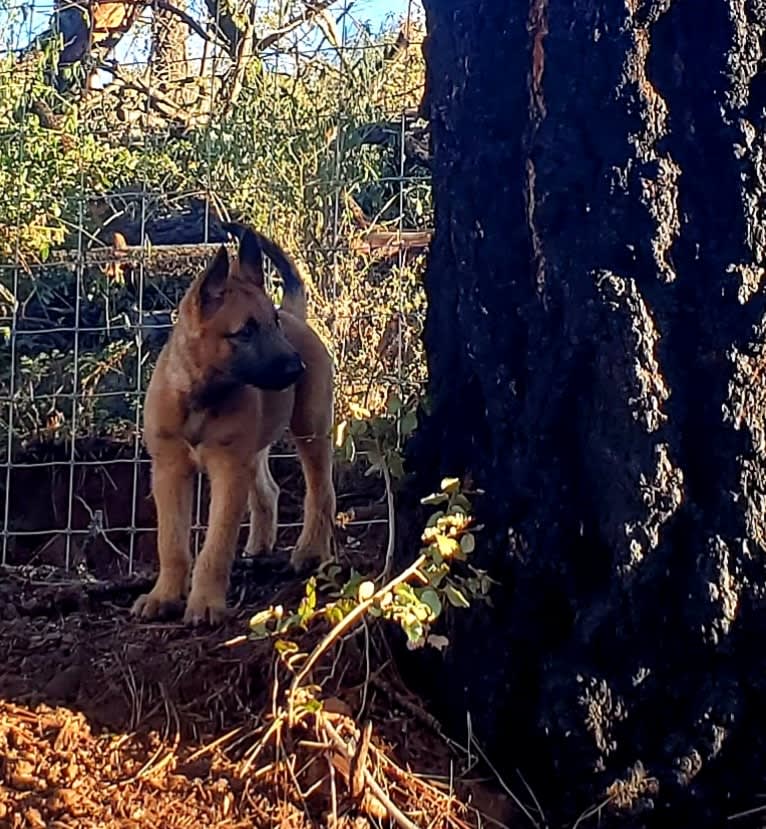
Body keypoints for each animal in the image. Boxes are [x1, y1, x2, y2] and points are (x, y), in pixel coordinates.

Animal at [132, 223, 336, 624]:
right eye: (245, 332)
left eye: (273, 324)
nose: (296, 368)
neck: (201, 396)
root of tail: (297, 317)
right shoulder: (169, 469)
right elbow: (170, 542)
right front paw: (164, 596)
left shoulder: (228, 468)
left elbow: (216, 544)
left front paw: (205, 602)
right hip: (254, 449)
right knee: (268, 490)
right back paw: (259, 546)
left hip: (310, 427)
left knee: (321, 491)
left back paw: (310, 551)